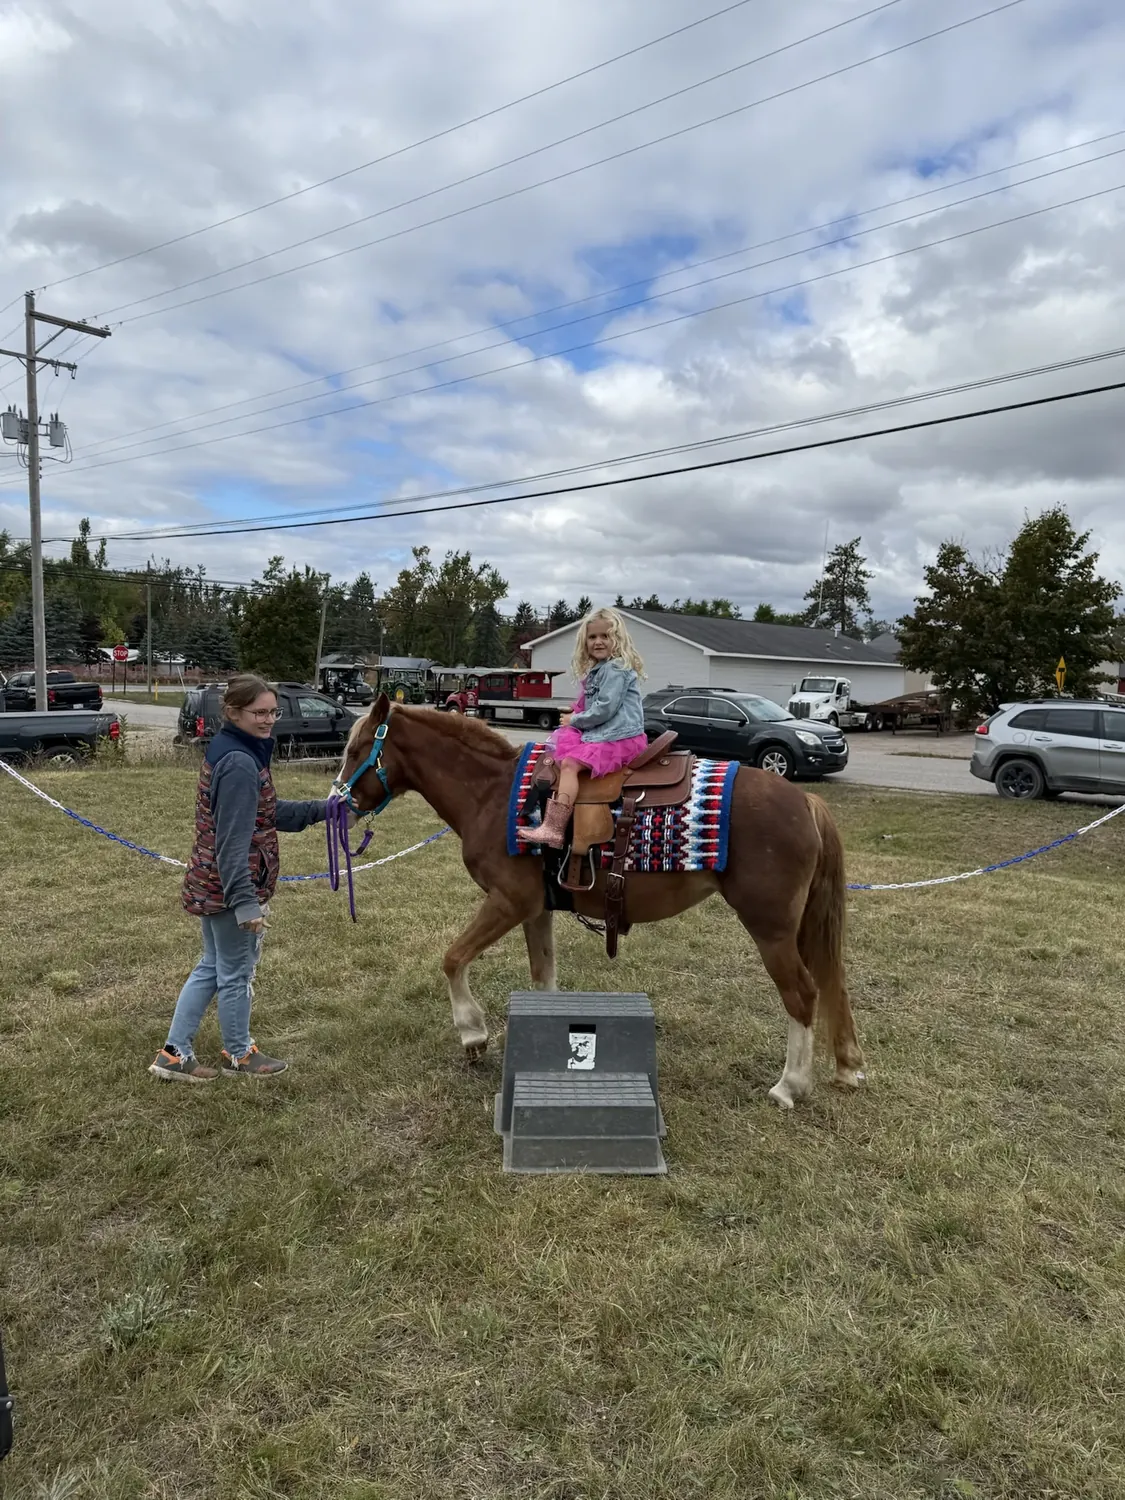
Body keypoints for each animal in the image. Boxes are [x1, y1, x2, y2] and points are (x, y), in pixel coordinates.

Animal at [334, 695, 864, 1108]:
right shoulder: (536, 911)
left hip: (770, 928)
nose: (340, 803)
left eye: (356, 749)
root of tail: (803, 802)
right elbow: (542, 977)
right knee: (827, 984)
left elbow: (452, 958)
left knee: (803, 994)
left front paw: (472, 1033)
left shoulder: (508, 902)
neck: (492, 795)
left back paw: (790, 1086)